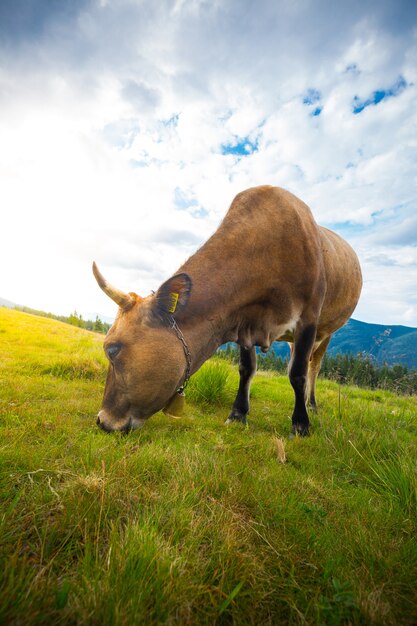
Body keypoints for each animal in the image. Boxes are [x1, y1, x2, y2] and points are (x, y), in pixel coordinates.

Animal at [92, 186, 360, 434]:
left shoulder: (308, 318)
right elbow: (247, 368)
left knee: (313, 366)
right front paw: (238, 414)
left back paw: (311, 405)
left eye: (112, 350)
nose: (102, 420)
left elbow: (297, 374)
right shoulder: (245, 320)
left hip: (327, 331)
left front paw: (301, 424)